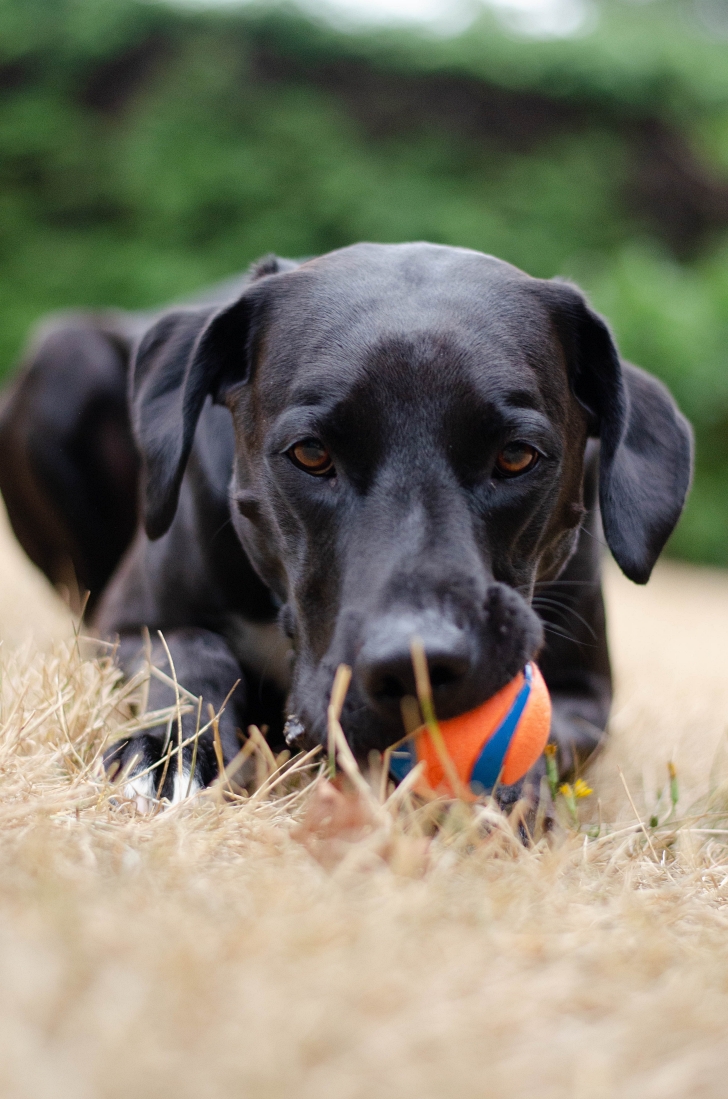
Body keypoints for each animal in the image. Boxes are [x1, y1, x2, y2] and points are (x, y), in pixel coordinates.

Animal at [0, 245, 695, 813]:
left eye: (518, 456)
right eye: (310, 454)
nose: (418, 665)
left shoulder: (586, 692)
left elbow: (550, 731)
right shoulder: (123, 624)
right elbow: (187, 655)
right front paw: (169, 751)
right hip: (66, 357)